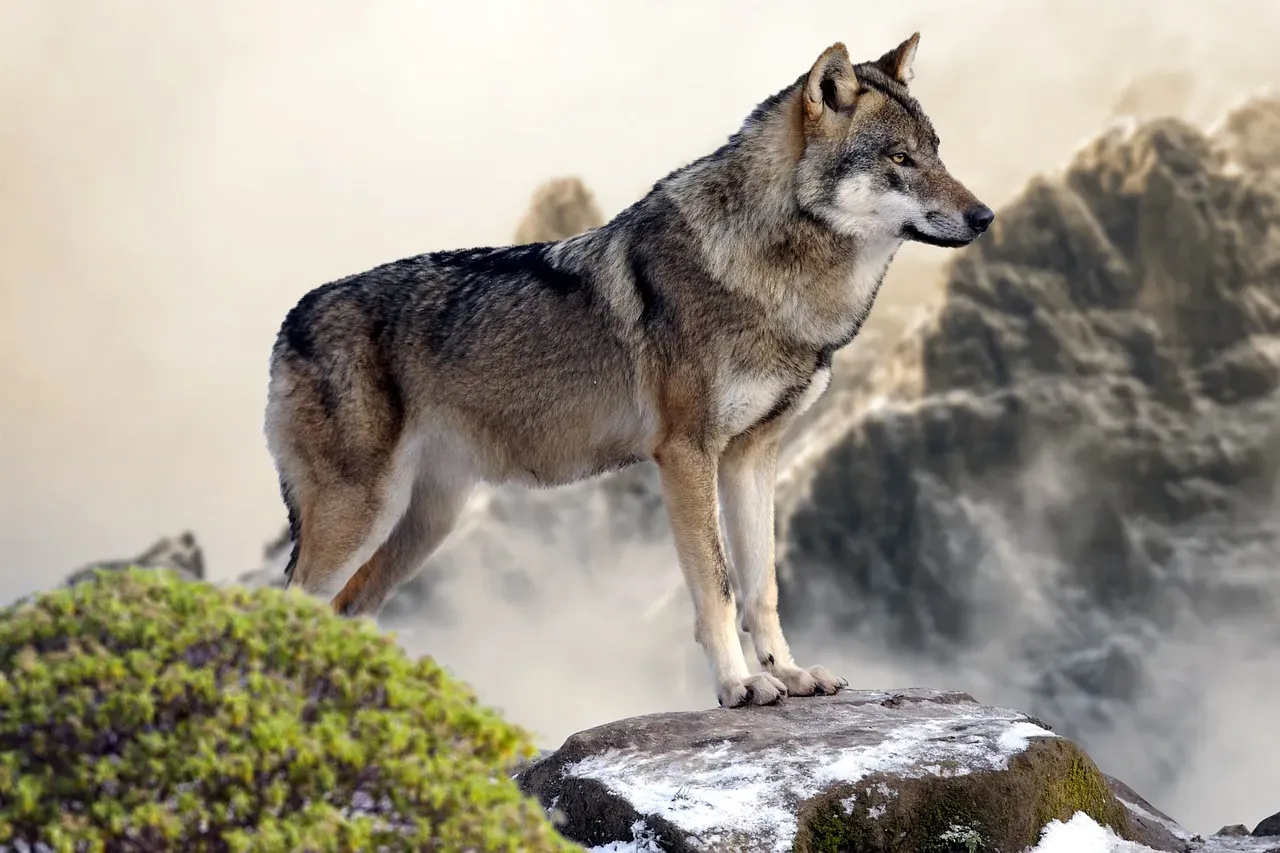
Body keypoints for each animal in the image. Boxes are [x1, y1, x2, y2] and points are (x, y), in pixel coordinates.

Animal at [264, 33, 993, 709]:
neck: (771, 278)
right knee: (285, 608)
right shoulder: (687, 453)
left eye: (936, 151)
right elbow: (718, 586)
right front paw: (739, 685)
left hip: (424, 523)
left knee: (348, 610)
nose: (985, 216)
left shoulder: (753, 456)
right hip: (361, 514)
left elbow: (763, 585)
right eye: (899, 159)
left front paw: (788, 672)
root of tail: (287, 321)